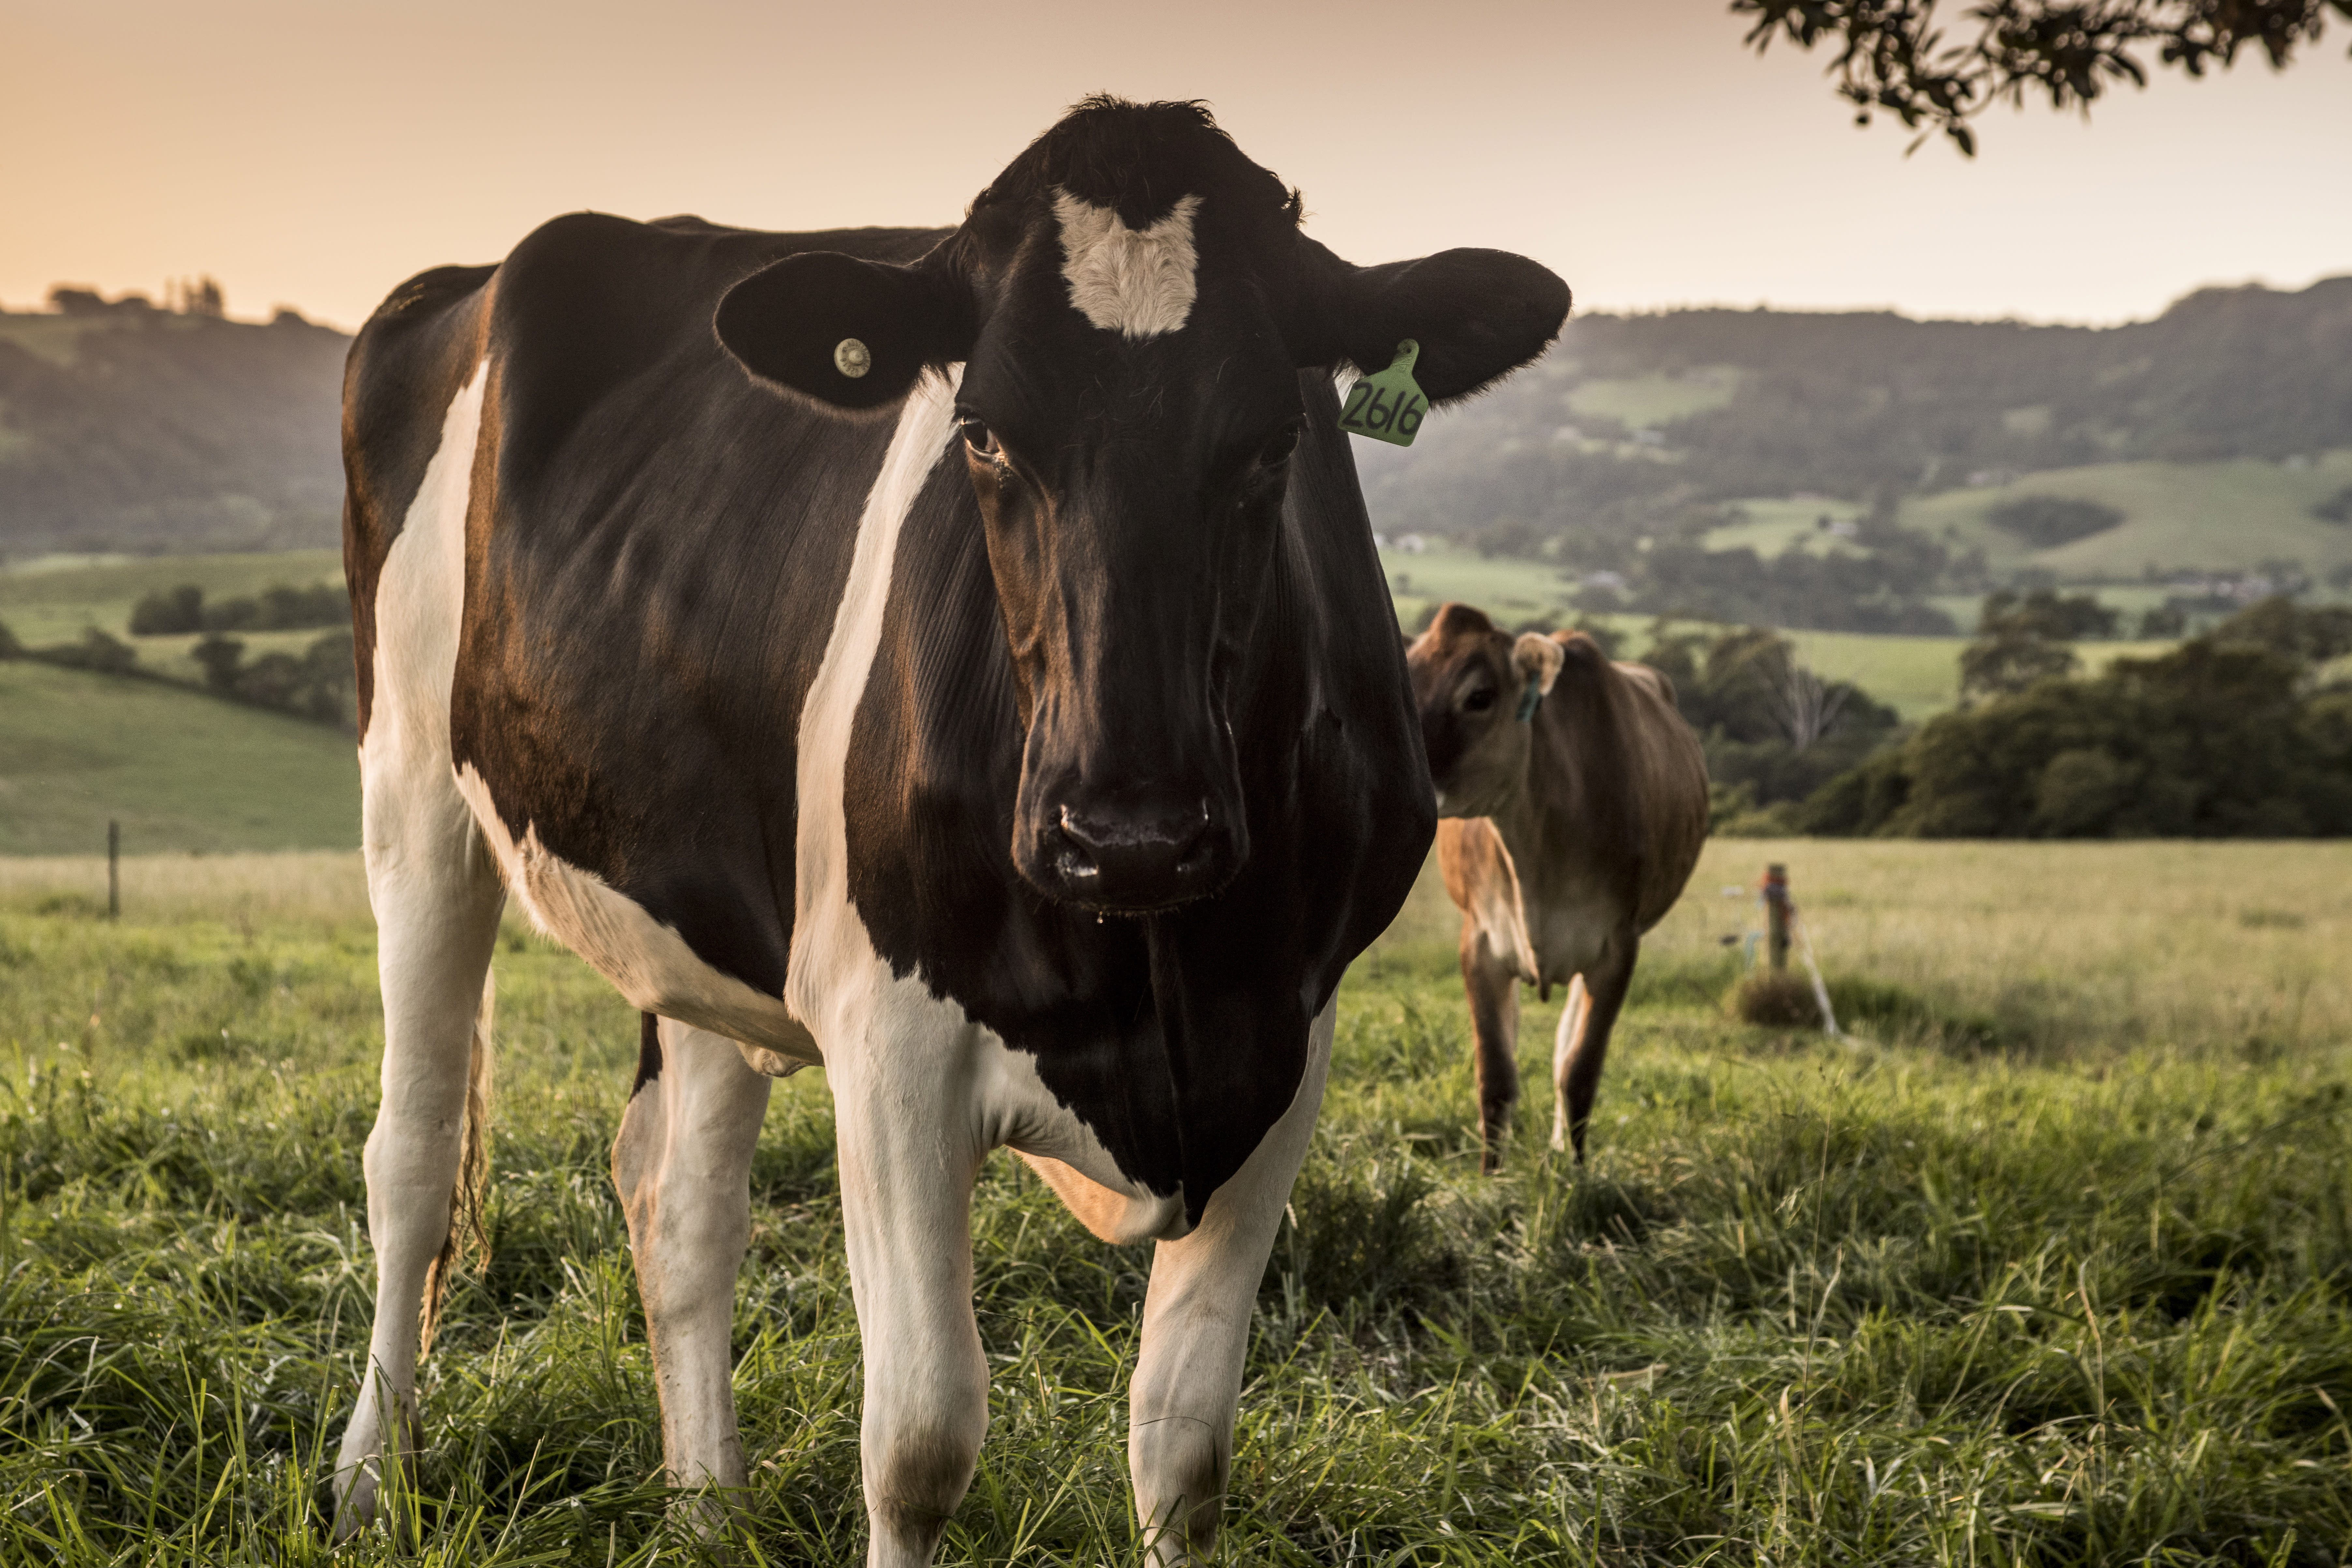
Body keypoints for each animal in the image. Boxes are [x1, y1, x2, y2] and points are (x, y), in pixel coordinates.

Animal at [332, 99, 1568, 1565]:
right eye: (980, 432)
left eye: (1279, 439)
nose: (1128, 831)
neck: (1147, 981)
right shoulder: (889, 1038)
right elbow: (921, 1438)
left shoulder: (1284, 1038)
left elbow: (1183, 1443)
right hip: (411, 792)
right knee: (412, 1158)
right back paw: (366, 1482)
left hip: (703, 909)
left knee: (677, 1198)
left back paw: (708, 1508)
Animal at [1404, 604, 1708, 1172]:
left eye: (1479, 696)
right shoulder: (1480, 940)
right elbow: (1496, 1075)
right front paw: (1490, 1176)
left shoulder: (1619, 946)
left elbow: (1580, 1069)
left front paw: (1579, 1172)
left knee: (1565, 1048)